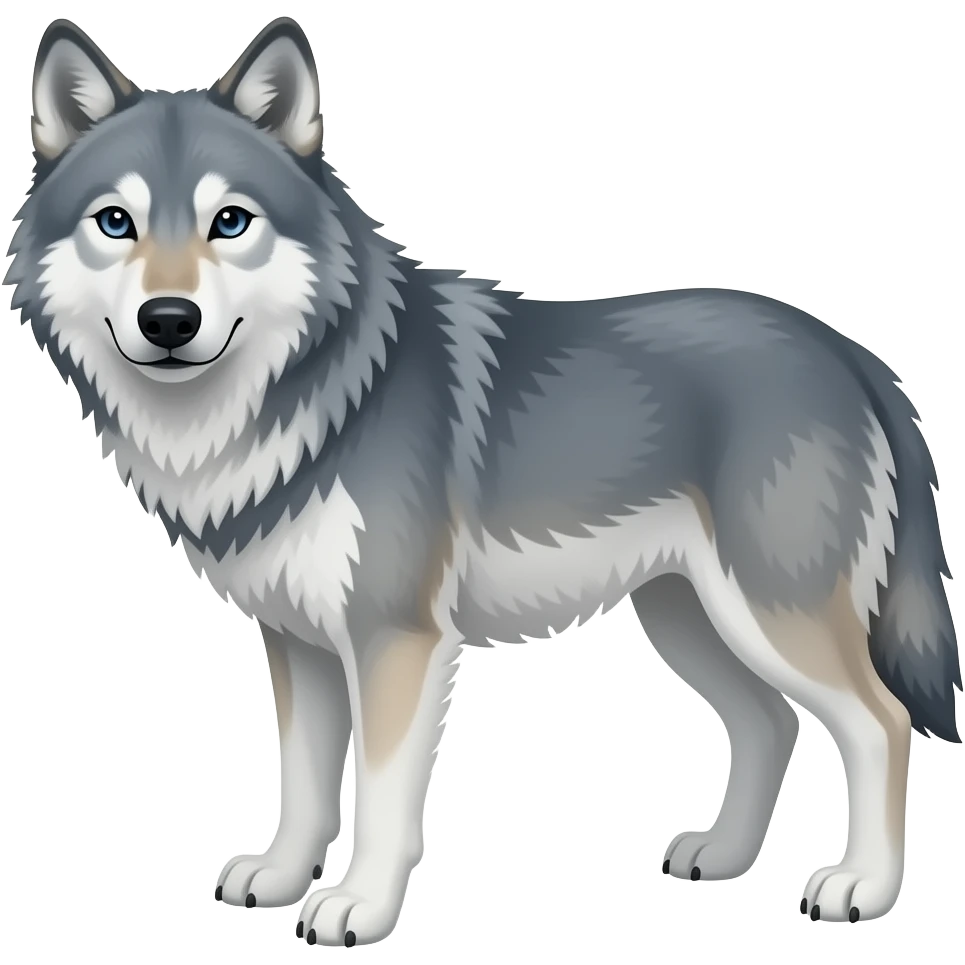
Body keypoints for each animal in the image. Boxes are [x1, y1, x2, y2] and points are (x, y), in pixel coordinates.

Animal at [6, 14, 960, 946]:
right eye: (116, 223)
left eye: (231, 222)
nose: (168, 320)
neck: (308, 398)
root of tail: (850, 352)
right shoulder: (298, 642)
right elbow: (303, 784)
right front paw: (279, 879)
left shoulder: (395, 638)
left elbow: (380, 794)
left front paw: (358, 906)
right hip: (688, 616)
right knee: (770, 721)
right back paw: (723, 855)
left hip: (767, 612)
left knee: (880, 722)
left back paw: (861, 887)